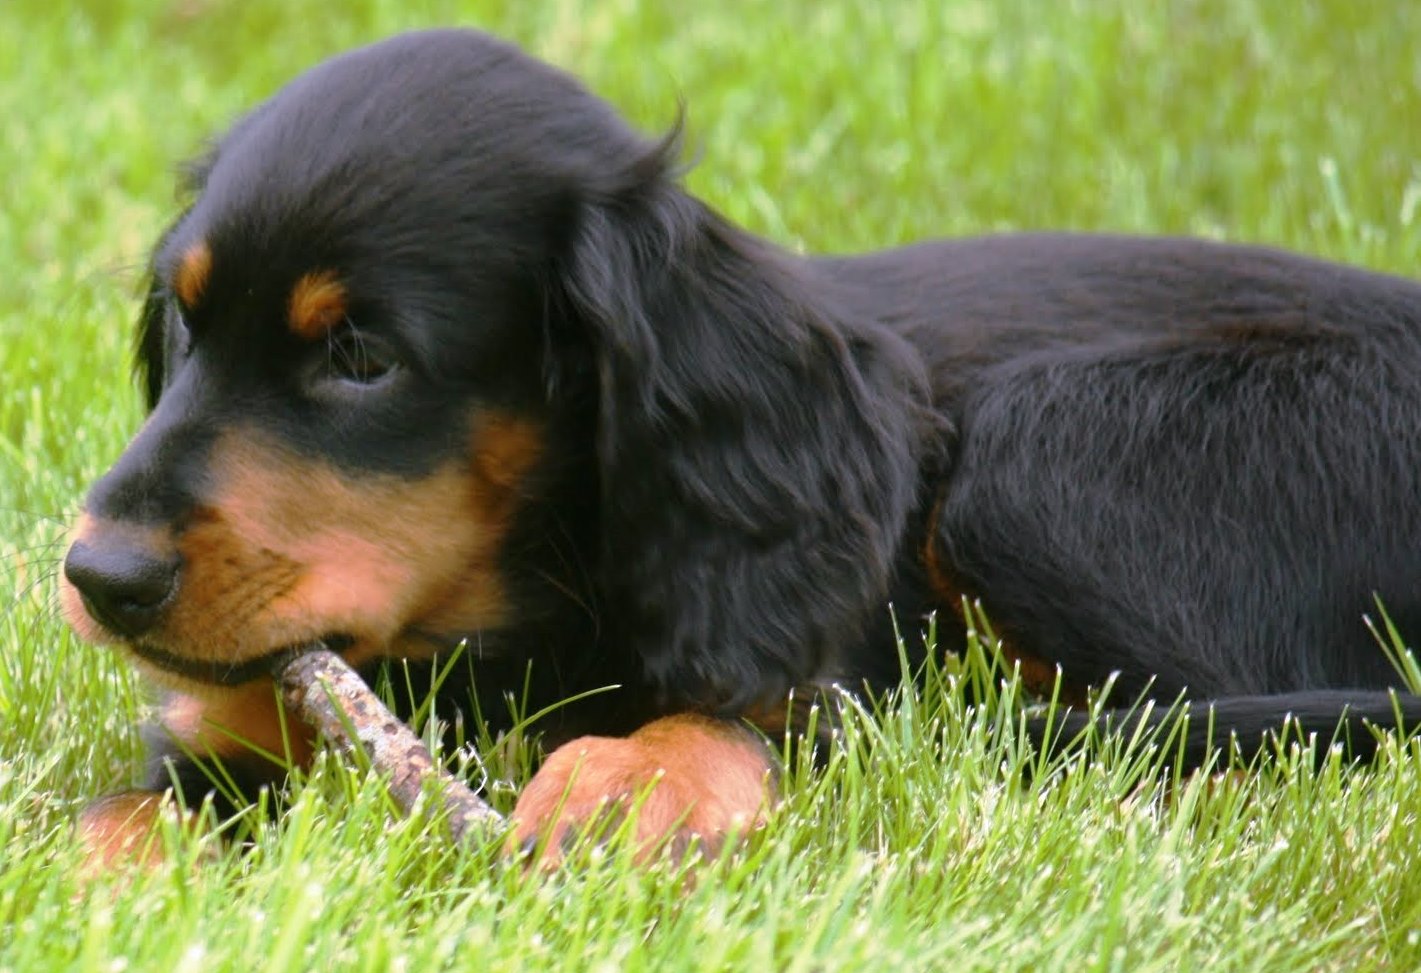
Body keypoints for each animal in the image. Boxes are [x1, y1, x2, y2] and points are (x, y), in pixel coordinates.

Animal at [61, 30, 1421, 863]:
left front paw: (623, 787)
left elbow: (732, 717)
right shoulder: (232, 730)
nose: (98, 577)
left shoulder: (823, 674)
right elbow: (121, 811)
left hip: (1036, 461)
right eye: (183, 319)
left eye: (360, 356)